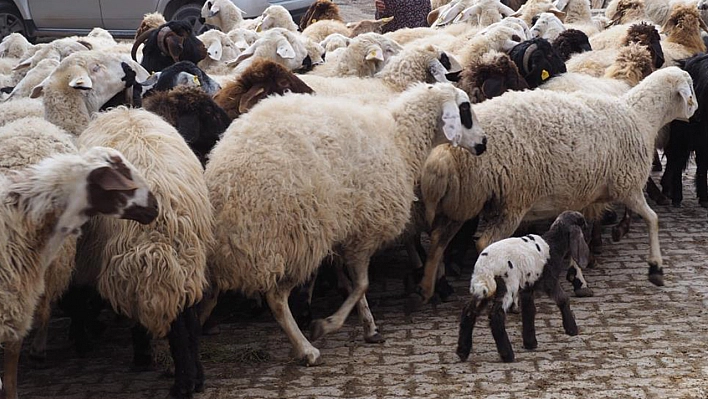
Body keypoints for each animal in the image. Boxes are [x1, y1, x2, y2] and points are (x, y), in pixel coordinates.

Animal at [75, 106, 213, 399]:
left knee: (175, 327)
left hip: (141, 268)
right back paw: (196, 378)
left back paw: (181, 384)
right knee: (189, 323)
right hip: (185, 262)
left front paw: (142, 356)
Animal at [205, 81, 486, 366]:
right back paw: (306, 349)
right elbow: (362, 285)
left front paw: (369, 327)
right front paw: (327, 325)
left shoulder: (349, 232)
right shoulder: (366, 232)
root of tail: (225, 187)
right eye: (465, 109)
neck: (400, 140)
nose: (483, 143)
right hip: (291, 239)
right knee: (276, 299)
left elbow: (356, 286)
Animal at [414, 67, 696, 308]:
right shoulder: (627, 186)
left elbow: (577, 236)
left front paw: (578, 278)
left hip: (463, 201)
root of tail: (444, 153)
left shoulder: (582, 194)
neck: (641, 117)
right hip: (511, 200)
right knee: (484, 242)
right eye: (690, 86)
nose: (695, 110)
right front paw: (656, 268)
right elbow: (652, 219)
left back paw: (429, 288)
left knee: (438, 240)